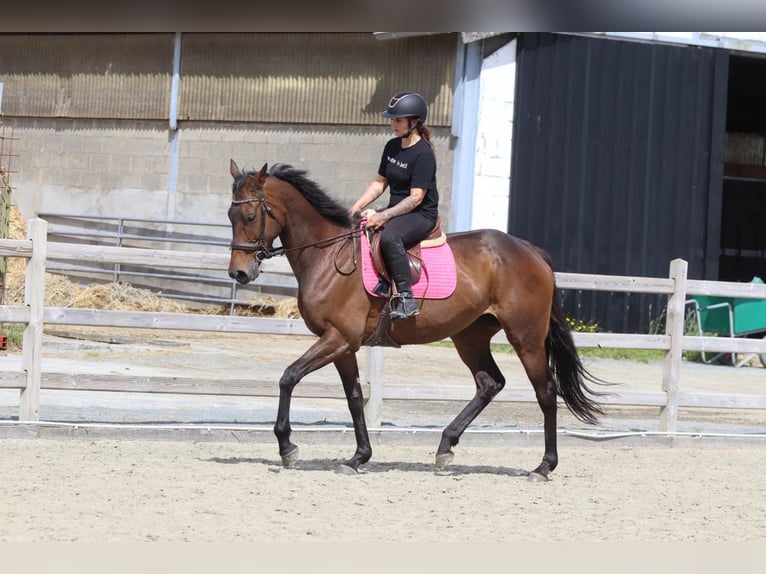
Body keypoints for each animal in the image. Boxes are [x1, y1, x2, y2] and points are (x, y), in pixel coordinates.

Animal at [227, 160, 608, 481]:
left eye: (250, 216)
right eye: (230, 215)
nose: (239, 273)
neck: (328, 255)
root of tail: (533, 252)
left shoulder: (338, 338)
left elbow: (288, 377)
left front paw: (287, 447)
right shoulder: (343, 344)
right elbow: (353, 397)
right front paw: (358, 457)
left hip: (525, 338)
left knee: (545, 391)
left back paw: (543, 467)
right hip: (470, 336)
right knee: (490, 383)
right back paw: (446, 447)